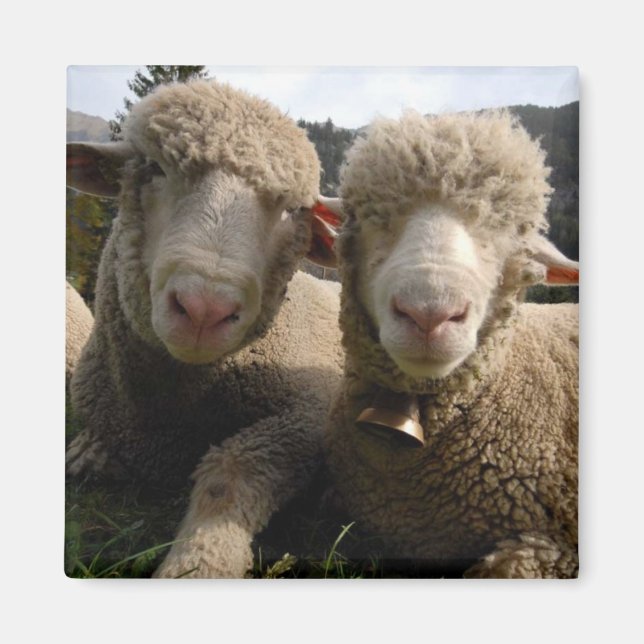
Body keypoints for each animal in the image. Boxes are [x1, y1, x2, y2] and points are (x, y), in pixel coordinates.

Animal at [65, 80, 343, 578]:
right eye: (153, 168)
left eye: (293, 210)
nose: (204, 308)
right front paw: (88, 452)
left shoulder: (311, 412)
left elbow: (230, 471)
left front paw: (199, 562)